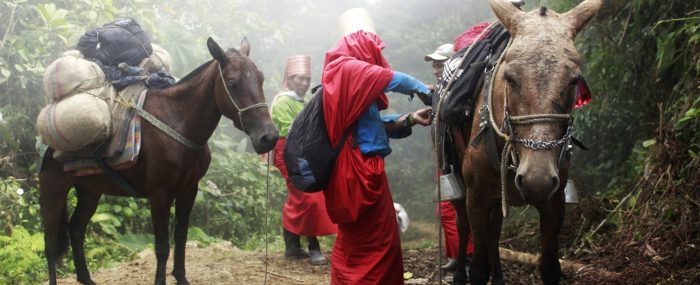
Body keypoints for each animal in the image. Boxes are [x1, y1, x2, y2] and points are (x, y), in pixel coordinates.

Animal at [39, 37, 278, 284]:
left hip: (90, 190)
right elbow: (162, 247)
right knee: (51, 245)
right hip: (53, 188)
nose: (268, 137)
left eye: (260, 79)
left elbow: (181, 238)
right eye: (232, 83)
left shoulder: (189, 190)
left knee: (76, 229)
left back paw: (86, 279)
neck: (179, 123)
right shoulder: (159, 193)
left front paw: (181, 278)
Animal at [454, 1, 600, 282]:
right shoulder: (476, 198)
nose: (536, 179)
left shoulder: (554, 201)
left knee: (494, 232)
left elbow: (550, 267)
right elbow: (478, 267)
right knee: (461, 225)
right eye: (509, 78)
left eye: (574, 80)